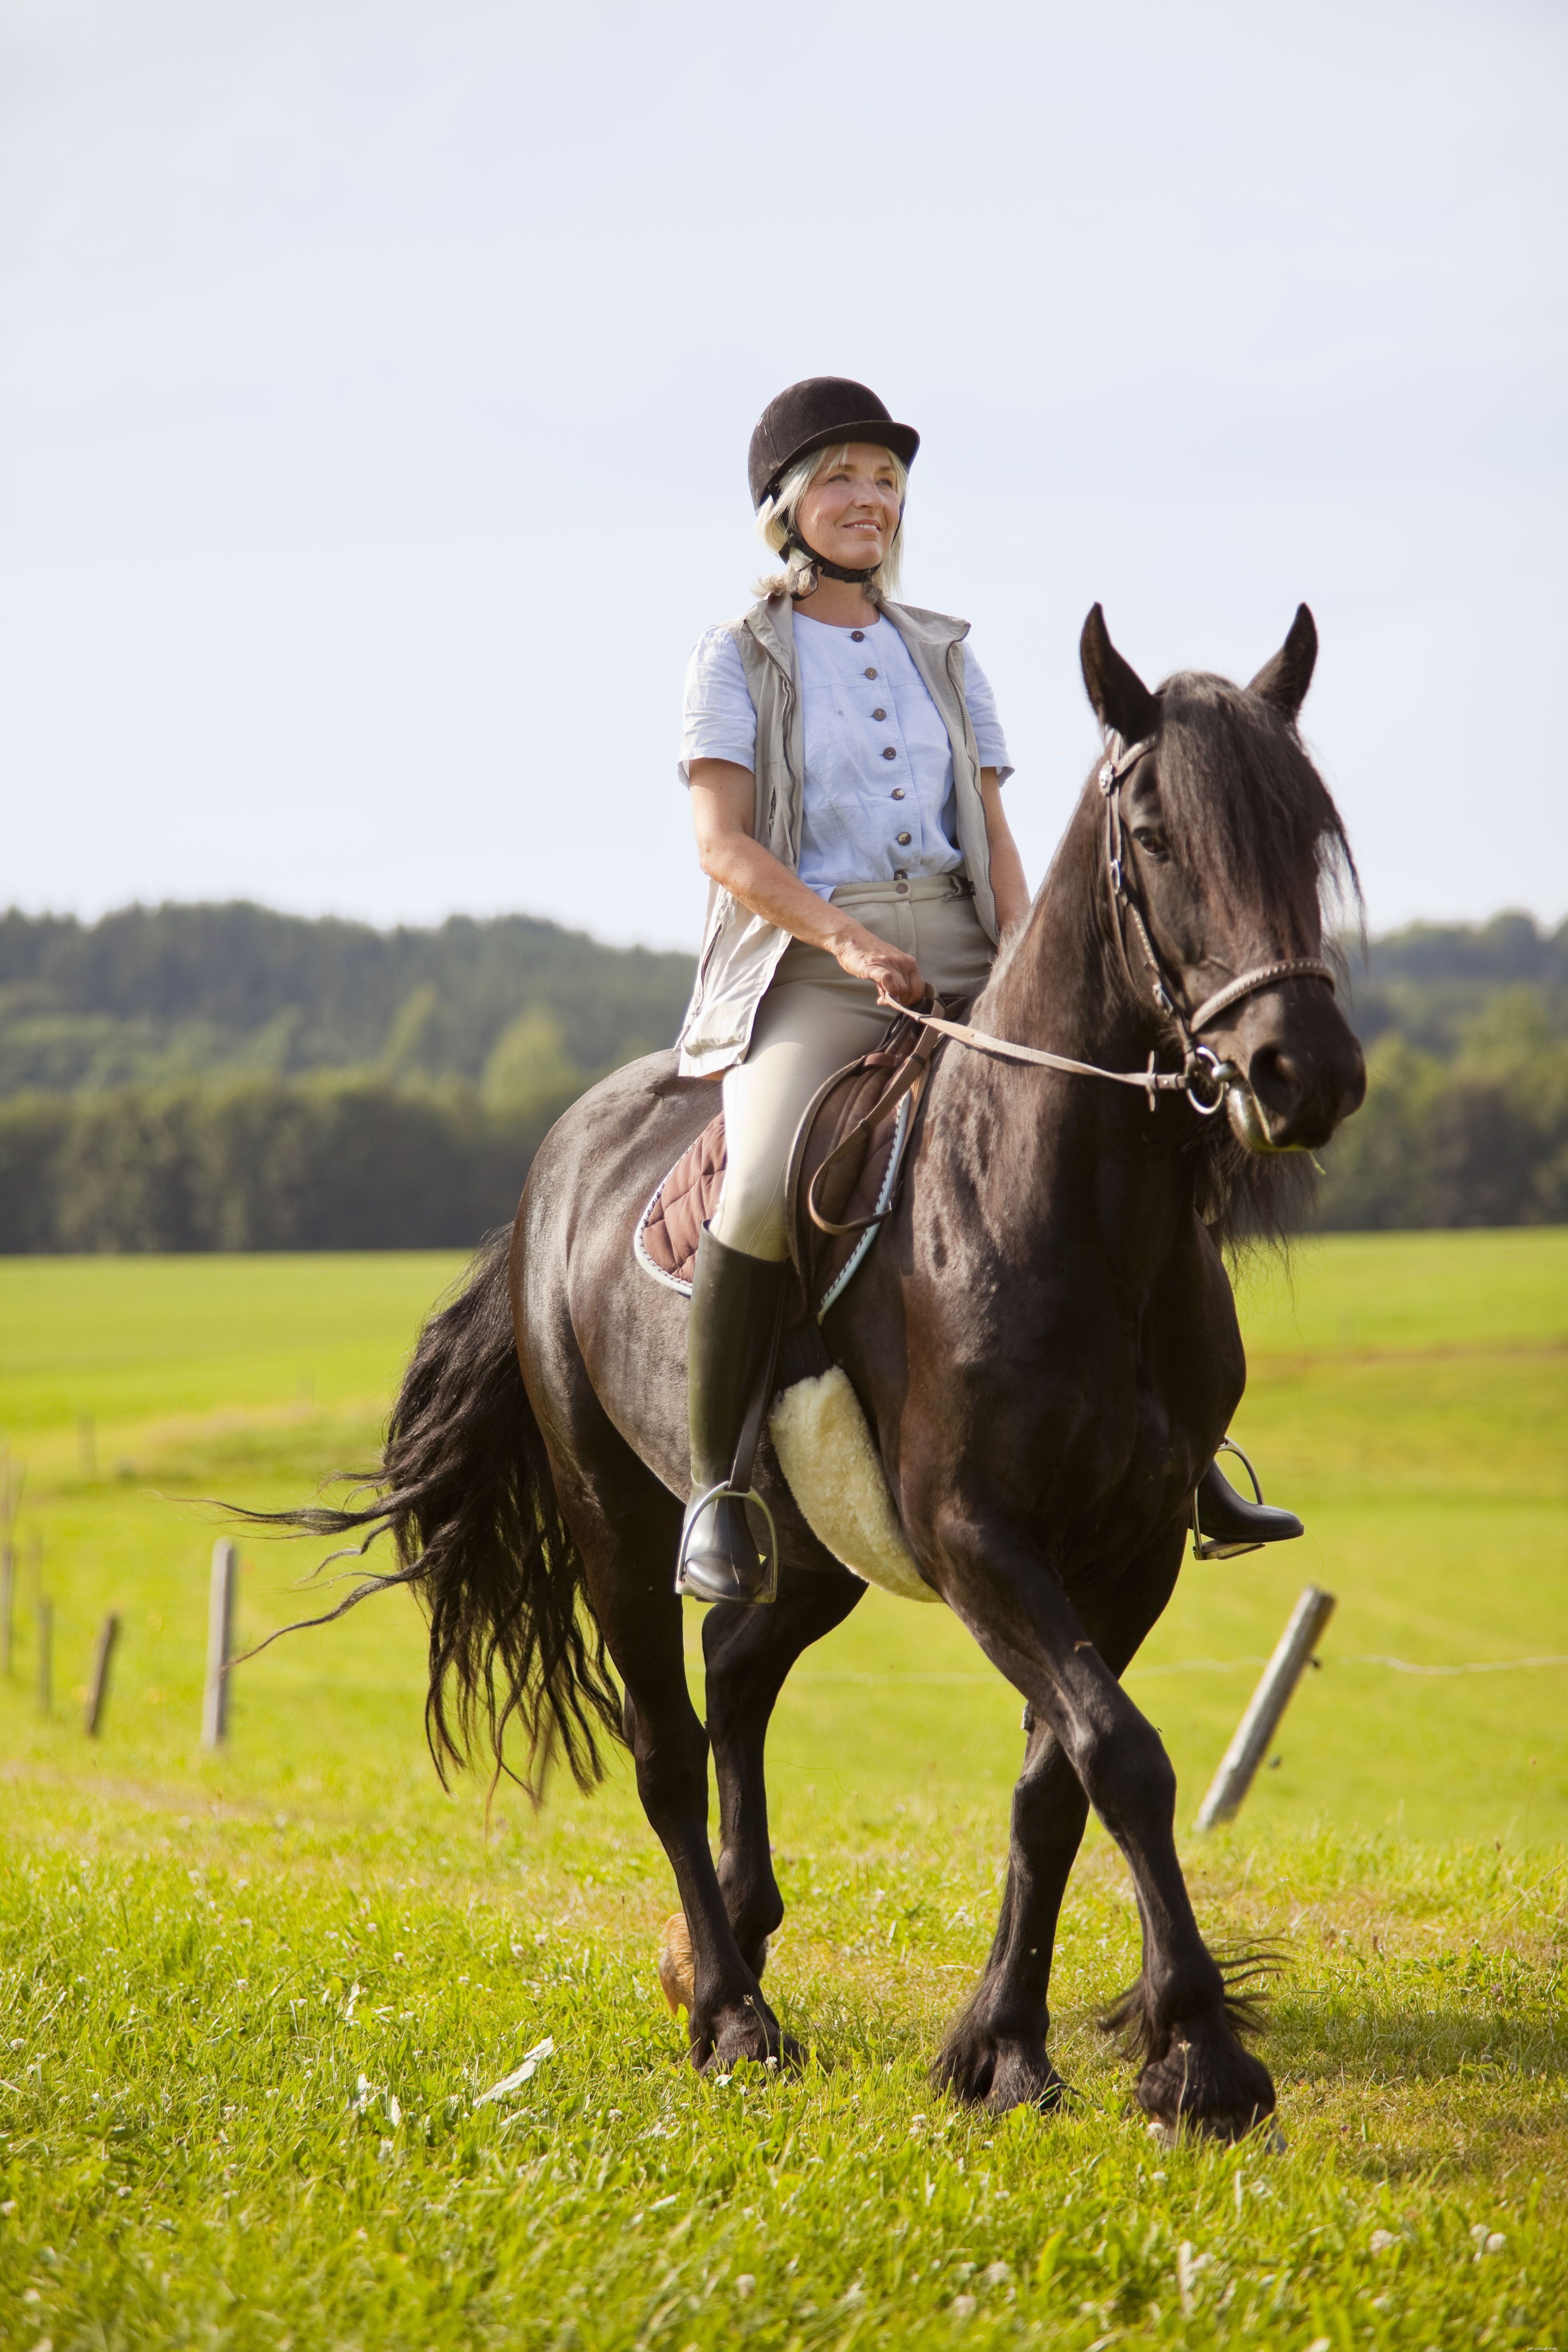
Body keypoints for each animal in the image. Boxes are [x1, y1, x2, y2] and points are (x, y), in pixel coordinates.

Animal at [265, 603, 1366, 2140]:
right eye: (1151, 833)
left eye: (1309, 827)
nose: (1297, 1074)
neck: (1063, 1209)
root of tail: (558, 1156)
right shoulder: (976, 1533)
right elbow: (1120, 1751)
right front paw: (1200, 2053)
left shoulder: (1129, 1542)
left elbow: (1056, 1779)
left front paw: (1003, 2047)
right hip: (616, 1519)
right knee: (666, 1739)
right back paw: (734, 2014)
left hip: (811, 1549)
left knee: (737, 1673)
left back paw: (724, 1939)